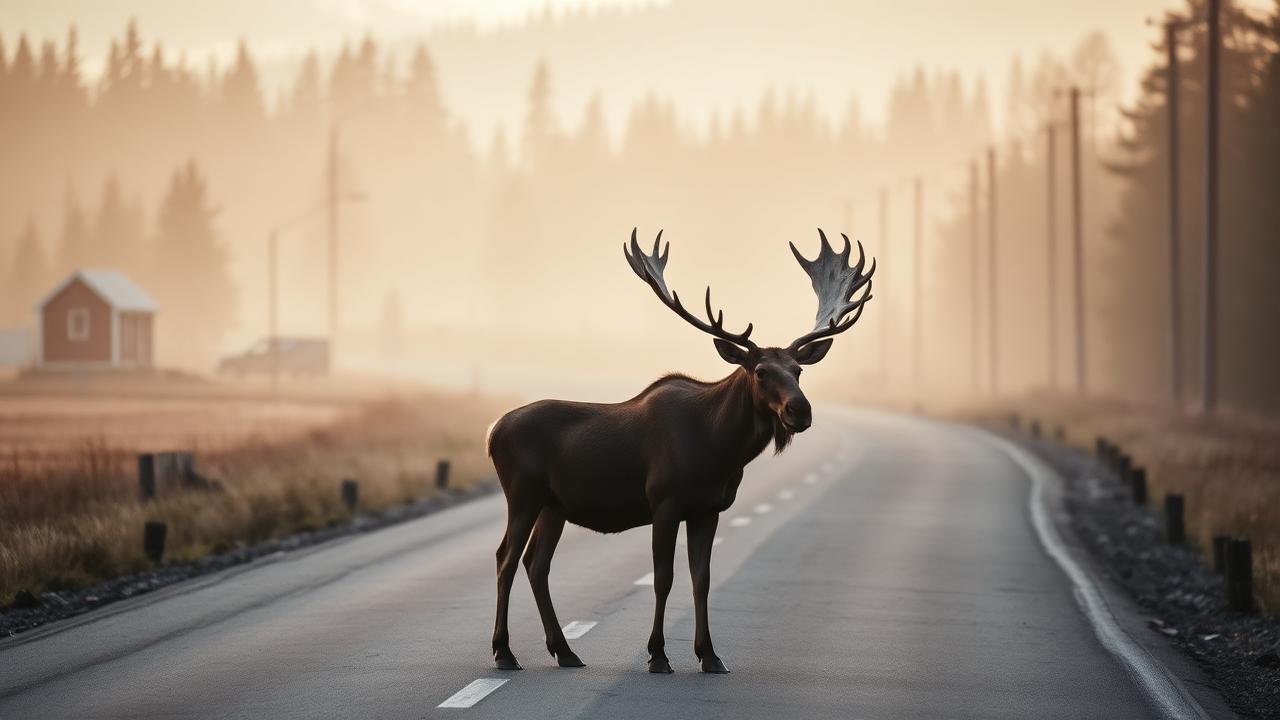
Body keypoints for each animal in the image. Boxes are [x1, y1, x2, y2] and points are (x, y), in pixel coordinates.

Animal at [486, 228, 875, 674]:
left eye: (798, 370)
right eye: (760, 371)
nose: (800, 409)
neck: (720, 451)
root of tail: (491, 433)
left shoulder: (708, 508)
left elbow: (700, 579)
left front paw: (710, 654)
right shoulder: (665, 502)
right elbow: (663, 577)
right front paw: (657, 654)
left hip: (555, 505)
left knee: (537, 564)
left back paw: (564, 651)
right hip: (523, 493)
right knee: (505, 558)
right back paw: (504, 652)